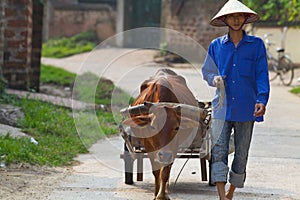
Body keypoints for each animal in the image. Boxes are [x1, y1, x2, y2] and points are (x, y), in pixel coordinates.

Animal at [120, 69, 207, 200]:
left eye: (176, 128)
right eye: (153, 127)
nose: (164, 155)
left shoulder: (173, 148)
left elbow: (165, 172)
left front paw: (162, 195)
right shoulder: (150, 147)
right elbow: (156, 172)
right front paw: (156, 194)